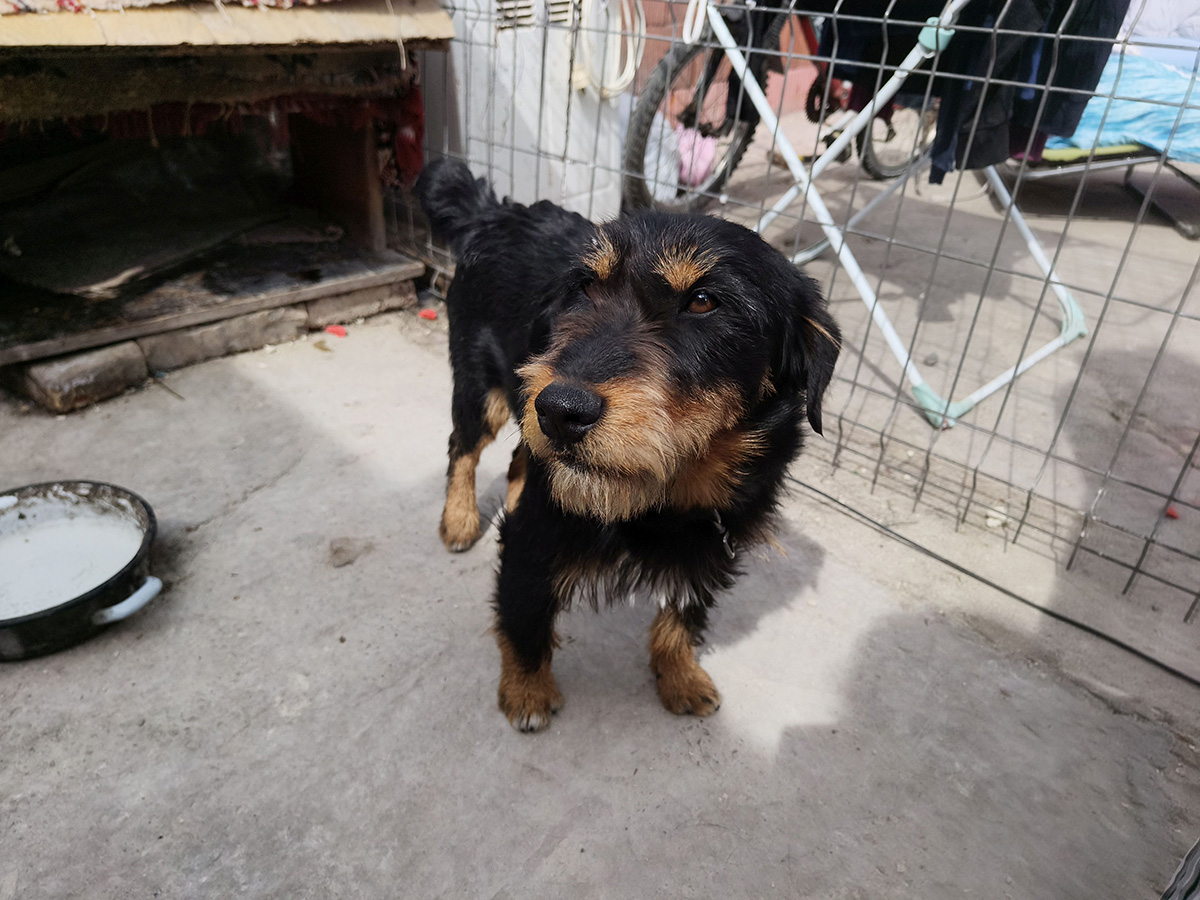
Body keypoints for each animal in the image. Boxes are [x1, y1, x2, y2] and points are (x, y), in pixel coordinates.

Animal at [416, 158, 840, 732]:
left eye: (703, 301)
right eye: (583, 288)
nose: (560, 411)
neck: (670, 495)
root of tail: (496, 211)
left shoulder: (717, 537)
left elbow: (683, 614)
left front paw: (680, 676)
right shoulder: (538, 534)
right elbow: (523, 613)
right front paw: (526, 691)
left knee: (519, 457)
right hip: (486, 389)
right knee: (463, 447)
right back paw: (459, 519)